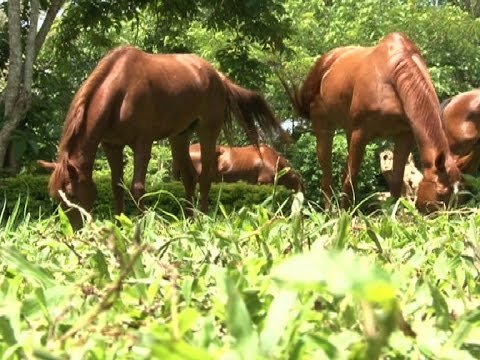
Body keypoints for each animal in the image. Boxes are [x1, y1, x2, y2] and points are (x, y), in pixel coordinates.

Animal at [39, 46, 284, 229]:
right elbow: (117, 186)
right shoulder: (112, 145)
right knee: (189, 177)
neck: (119, 90)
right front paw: (119, 225)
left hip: (207, 130)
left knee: (205, 177)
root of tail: (218, 76)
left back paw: (203, 220)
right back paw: (189, 221)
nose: (75, 231)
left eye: (72, 195)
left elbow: (137, 187)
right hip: (180, 135)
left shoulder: (142, 142)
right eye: (56, 198)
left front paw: (140, 226)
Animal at [280, 32, 464, 212]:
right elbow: (351, 179)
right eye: (441, 192)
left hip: (349, 131)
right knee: (327, 177)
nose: (445, 218)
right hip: (324, 128)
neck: (391, 77)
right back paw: (329, 213)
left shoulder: (404, 136)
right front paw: (346, 216)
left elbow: (396, 183)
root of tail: (326, 62)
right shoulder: (361, 133)